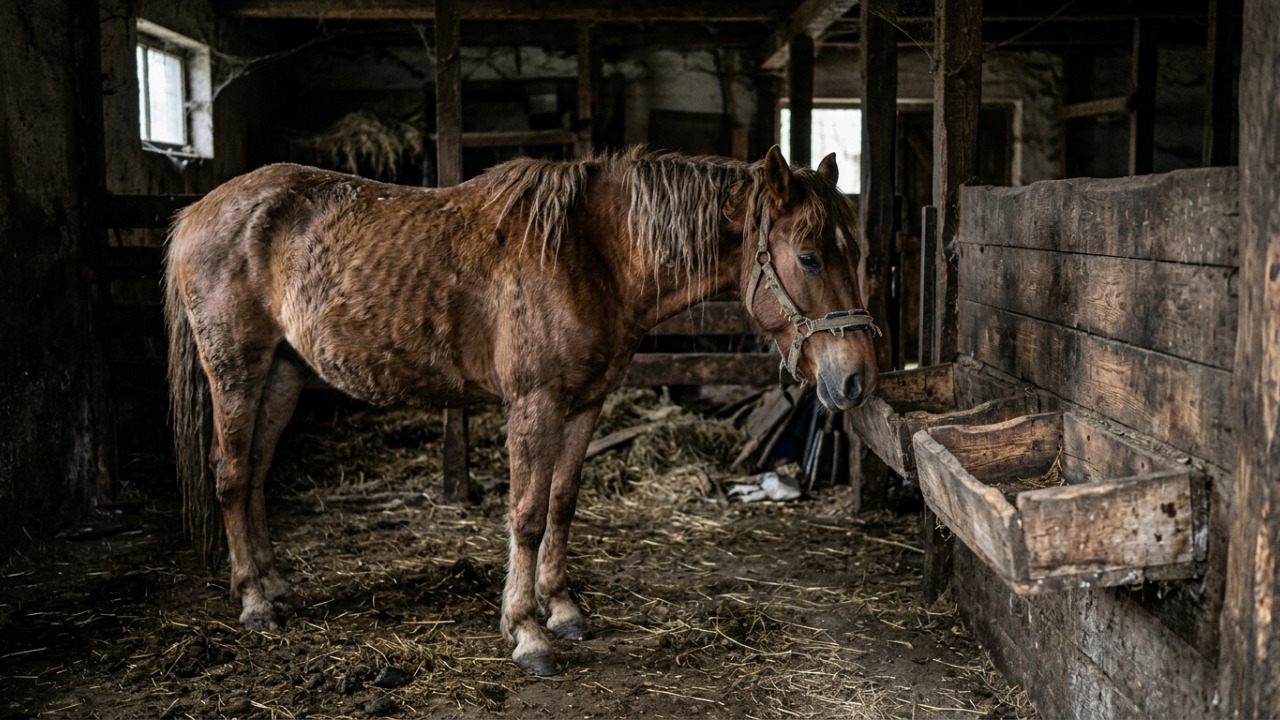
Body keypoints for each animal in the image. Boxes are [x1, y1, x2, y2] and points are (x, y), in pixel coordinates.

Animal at [164, 145, 879, 676]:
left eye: (858, 252)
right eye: (809, 256)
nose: (856, 379)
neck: (594, 252)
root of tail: (197, 212)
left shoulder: (585, 403)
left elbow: (562, 503)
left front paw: (562, 609)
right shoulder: (534, 403)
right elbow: (527, 515)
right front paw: (528, 630)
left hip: (283, 374)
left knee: (257, 473)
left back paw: (273, 584)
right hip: (237, 369)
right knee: (231, 476)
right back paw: (254, 601)